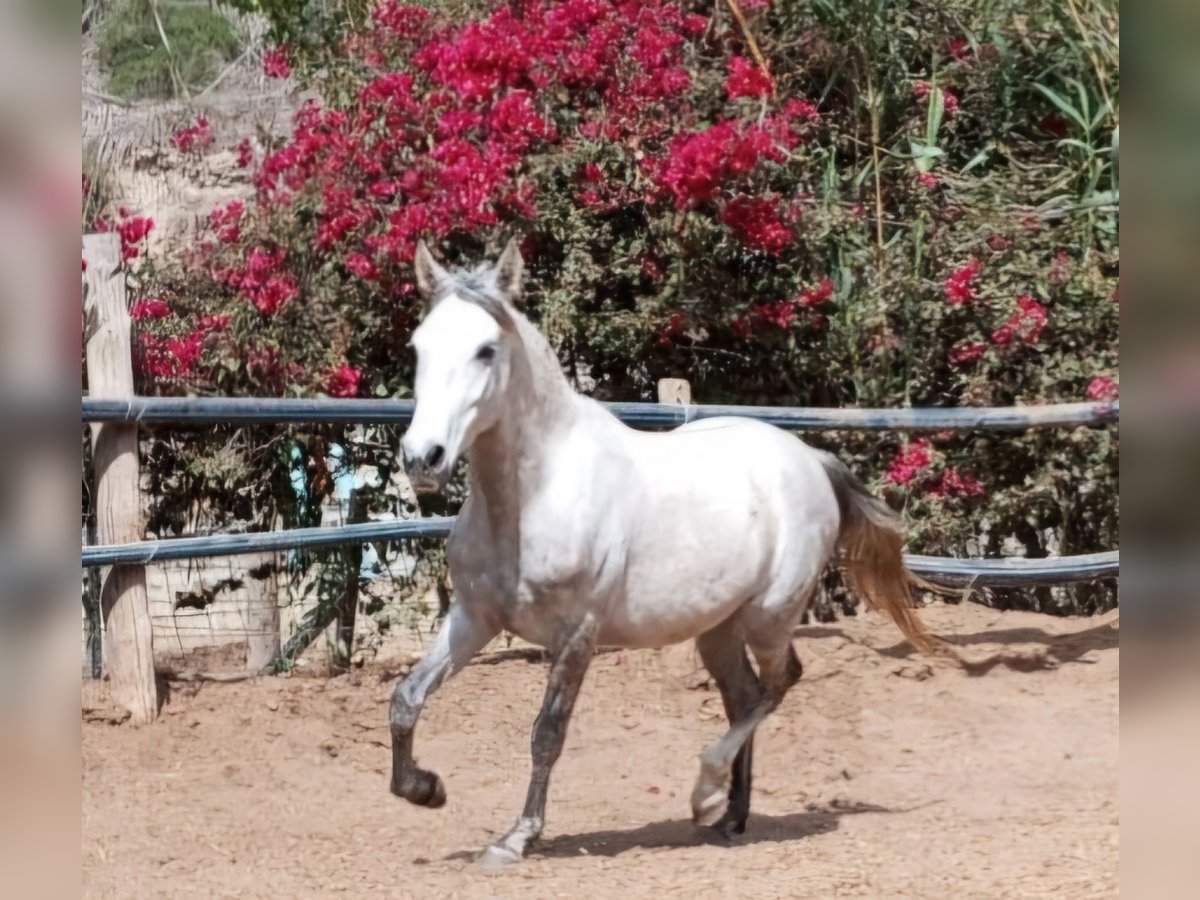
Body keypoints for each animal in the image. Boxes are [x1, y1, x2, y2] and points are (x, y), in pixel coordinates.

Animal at [391, 243, 936, 868]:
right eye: (418, 346)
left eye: (486, 349)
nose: (423, 458)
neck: (535, 497)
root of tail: (809, 459)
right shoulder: (474, 618)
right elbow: (406, 698)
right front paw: (426, 789)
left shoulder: (578, 635)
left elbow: (547, 733)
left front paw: (516, 837)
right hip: (718, 628)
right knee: (745, 696)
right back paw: (730, 817)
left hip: (770, 615)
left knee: (779, 683)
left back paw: (706, 794)